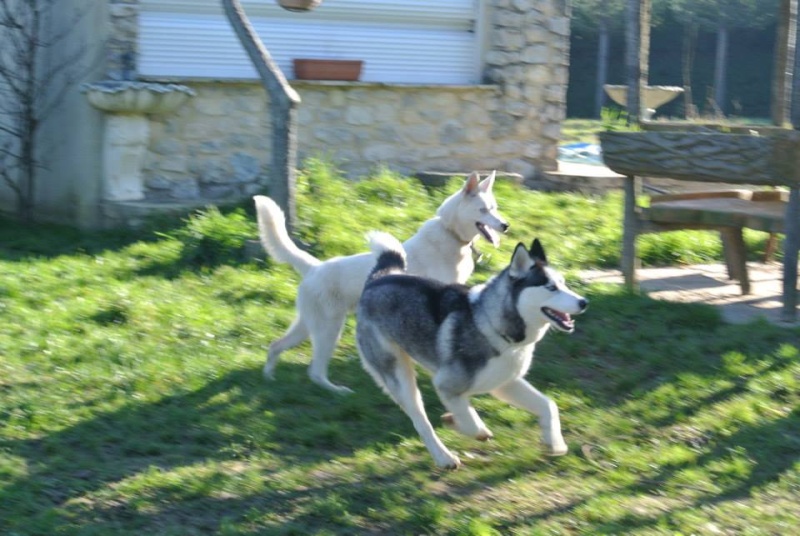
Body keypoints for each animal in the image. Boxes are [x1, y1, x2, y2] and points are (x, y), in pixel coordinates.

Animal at [256, 172, 506, 394]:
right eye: (483, 210)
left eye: (494, 207)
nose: (506, 226)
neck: (450, 233)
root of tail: (314, 267)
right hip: (328, 330)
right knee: (315, 371)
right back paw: (338, 391)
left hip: (309, 326)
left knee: (275, 345)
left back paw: (269, 378)